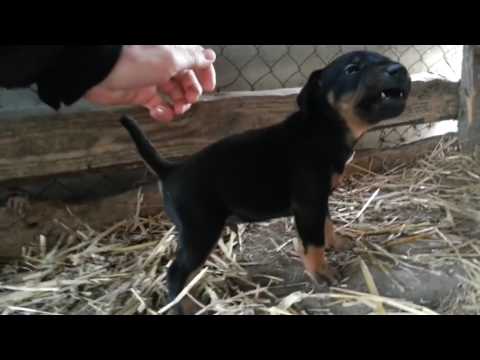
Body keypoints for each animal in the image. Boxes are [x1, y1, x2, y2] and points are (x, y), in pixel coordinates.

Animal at [120, 51, 408, 316]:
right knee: (175, 273)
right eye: (352, 69)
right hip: (200, 230)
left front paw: (335, 243)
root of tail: (170, 170)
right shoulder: (308, 203)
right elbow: (313, 243)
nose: (400, 69)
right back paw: (185, 306)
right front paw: (321, 273)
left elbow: (326, 225)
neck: (324, 126)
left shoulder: (319, 199)